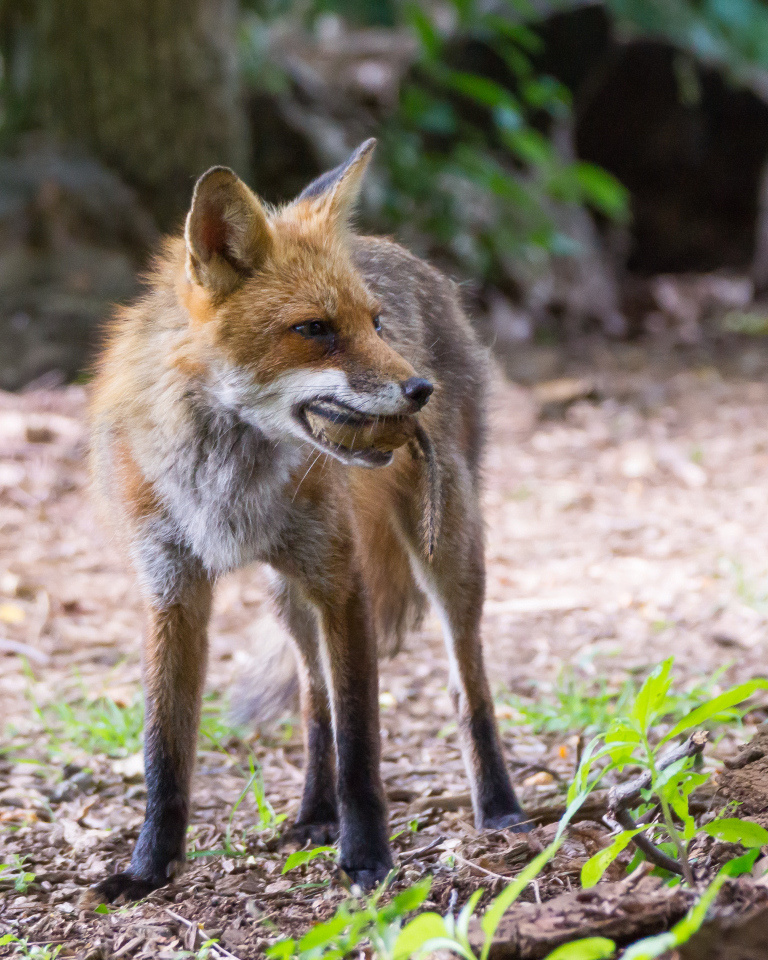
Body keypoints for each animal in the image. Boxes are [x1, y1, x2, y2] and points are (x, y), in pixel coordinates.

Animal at [87, 139, 524, 904]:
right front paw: (148, 868)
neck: (227, 481)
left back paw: (497, 807)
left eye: (375, 324)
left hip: (445, 553)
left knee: (466, 685)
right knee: (314, 700)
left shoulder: (342, 580)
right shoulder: (172, 588)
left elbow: (362, 744)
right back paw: (315, 812)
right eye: (314, 330)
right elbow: (164, 751)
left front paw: (369, 858)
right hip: (288, 595)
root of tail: (404, 254)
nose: (421, 390)